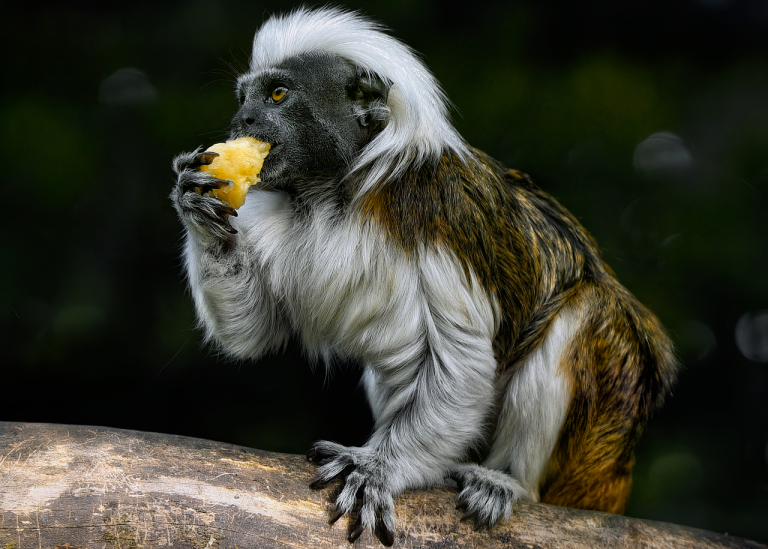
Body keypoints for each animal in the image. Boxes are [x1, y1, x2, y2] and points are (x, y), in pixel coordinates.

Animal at [170, 7, 678, 547]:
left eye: (278, 95)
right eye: (243, 99)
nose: (242, 121)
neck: (332, 194)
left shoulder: (438, 212)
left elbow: (460, 360)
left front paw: (377, 467)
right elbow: (256, 331)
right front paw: (196, 202)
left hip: (599, 437)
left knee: (585, 313)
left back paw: (506, 480)